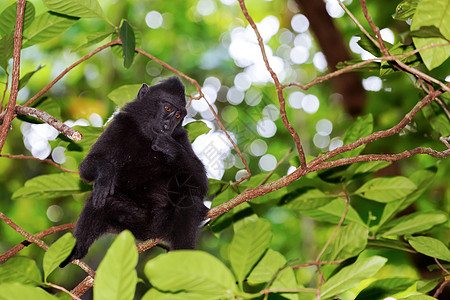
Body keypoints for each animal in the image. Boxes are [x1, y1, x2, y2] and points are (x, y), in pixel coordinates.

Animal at [59, 77, 209, 268]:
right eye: (167, 108)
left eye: (178, 116)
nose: (167, 126)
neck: (146, 135)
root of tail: (151, 232)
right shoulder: (120, 124)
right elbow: (88, 166)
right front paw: (106, 175)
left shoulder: (181, 137)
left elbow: (200, 186)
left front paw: (169, 147)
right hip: (130, 223)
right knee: (101, 199)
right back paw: (75, 250)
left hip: (166, 221)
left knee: (189, 203)